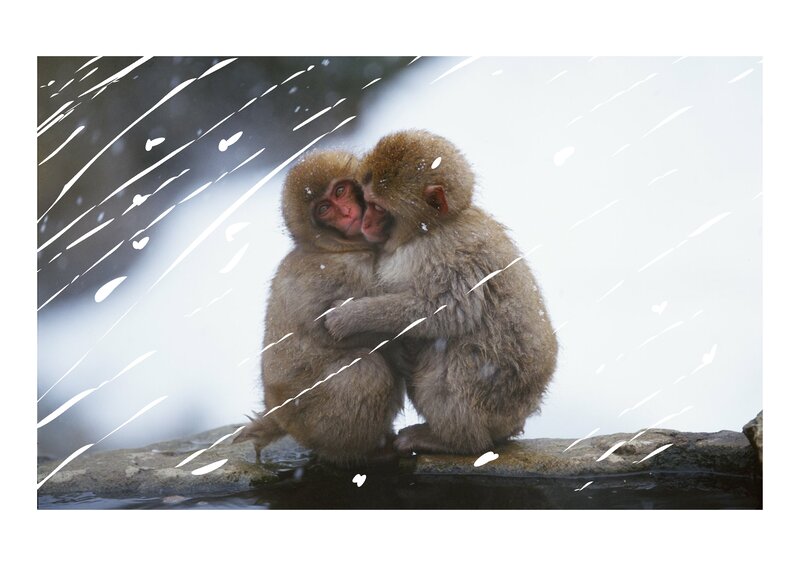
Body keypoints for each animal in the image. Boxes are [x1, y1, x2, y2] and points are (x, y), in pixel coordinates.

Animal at [234, 150, 404, 466]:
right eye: (324, 208)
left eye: (340, 191)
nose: (347, 212)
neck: (336, 248)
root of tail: (277, 414)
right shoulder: (341, 272)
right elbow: (339, 329)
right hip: (311, 418)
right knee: (364, 371)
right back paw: (365, 452)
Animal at [324, 130, 558, 455]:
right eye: (365, 201)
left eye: (378, 208)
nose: (365, 222)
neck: (430, 229)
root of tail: (518, 416)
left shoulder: (448, 255)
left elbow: (449, 311)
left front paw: (350, 316)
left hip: (489, 397)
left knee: (451, 358)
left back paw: (453, 440)